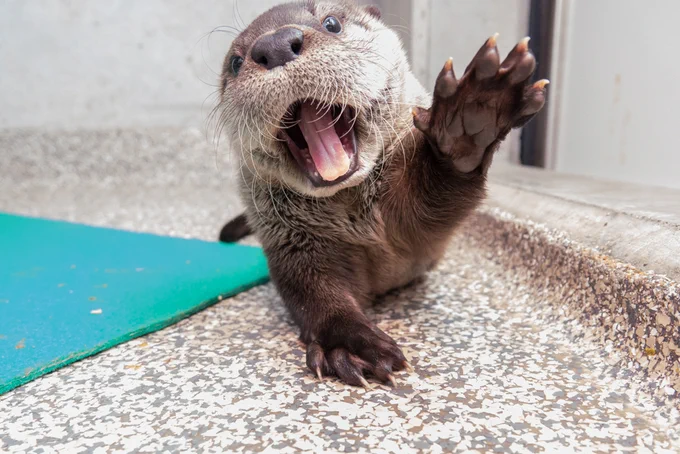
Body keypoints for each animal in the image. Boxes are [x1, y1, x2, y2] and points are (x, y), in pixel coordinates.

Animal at [216, 0, 547, 387]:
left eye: (331, 22)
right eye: (235, 62)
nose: (277, 44)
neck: (355, 219)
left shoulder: (414, 228)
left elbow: (430, 206)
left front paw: (473, 114)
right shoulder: (288, 240)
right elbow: (312, 293)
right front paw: (349, 344)